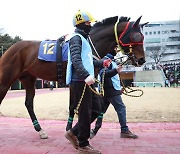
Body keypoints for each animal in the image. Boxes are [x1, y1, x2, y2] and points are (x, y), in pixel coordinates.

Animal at [0, 15, 146, 138]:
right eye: (135, 36)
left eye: (143, 37)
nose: (142, 60)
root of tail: (10, 49)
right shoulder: (74, 80)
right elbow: (73, 105)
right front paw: (71, 129)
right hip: (6, 80)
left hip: (28, 79)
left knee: (29, 103)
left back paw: (40, 130)